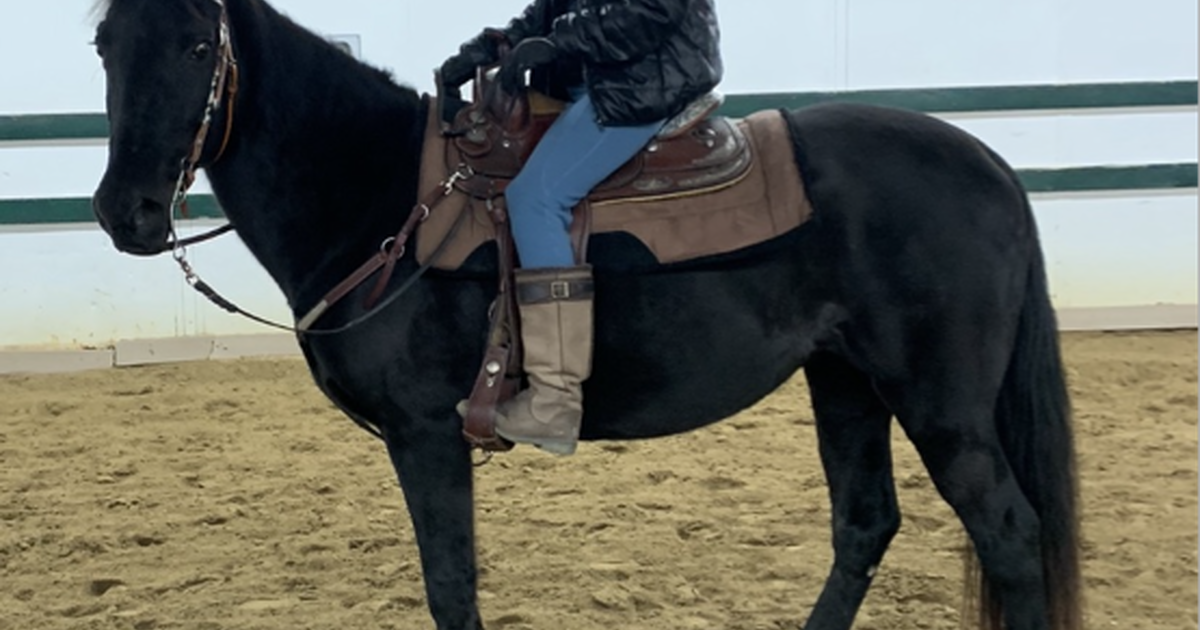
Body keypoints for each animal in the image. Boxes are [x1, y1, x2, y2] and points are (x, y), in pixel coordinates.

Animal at [89, 1, 1082, 629]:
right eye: (103, 44)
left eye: (195, 47)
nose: (124, 212)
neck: (382, 195)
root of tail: (989, 164)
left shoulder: (426, 434)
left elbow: (451, 586)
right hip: (845, 383)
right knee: (865, 524)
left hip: (942, 406)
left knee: (1008, 532)